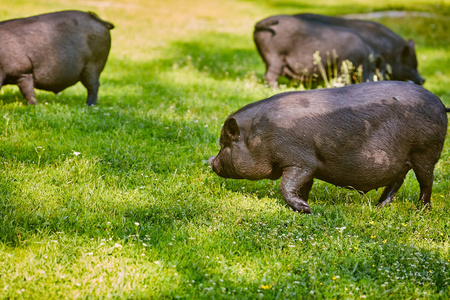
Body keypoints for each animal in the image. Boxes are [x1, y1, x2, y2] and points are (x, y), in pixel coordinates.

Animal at [209, 81, 448, 213]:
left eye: (224, 144)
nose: (210, 161)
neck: (259, 135)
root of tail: (440, 103)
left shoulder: (300, 161)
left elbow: (287, 185)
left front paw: (306, 210)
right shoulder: (310, 167)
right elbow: (303, 186)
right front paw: (305, 204)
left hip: (426, 153)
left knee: (426, 182)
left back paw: (421, 211)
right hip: (403, 159)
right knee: (397, 181)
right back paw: (379, 207)